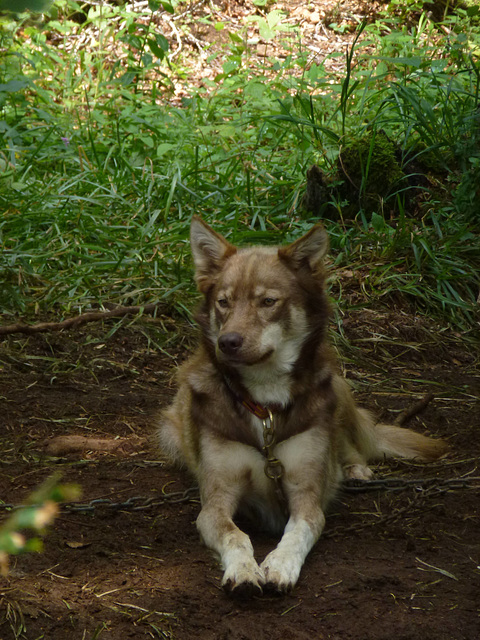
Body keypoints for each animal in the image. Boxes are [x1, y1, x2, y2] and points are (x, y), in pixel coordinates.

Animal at [158, 218, 450, 596]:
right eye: (223, 302)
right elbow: (236, 536)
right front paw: (244, 570)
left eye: (268, 301)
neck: (265, 404)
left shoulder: (306, 497)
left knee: (349, 443)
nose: (227, 342)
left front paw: (279, 565)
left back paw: (354, 469)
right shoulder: (215, 501)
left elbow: (296, 533)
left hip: (337, 387)